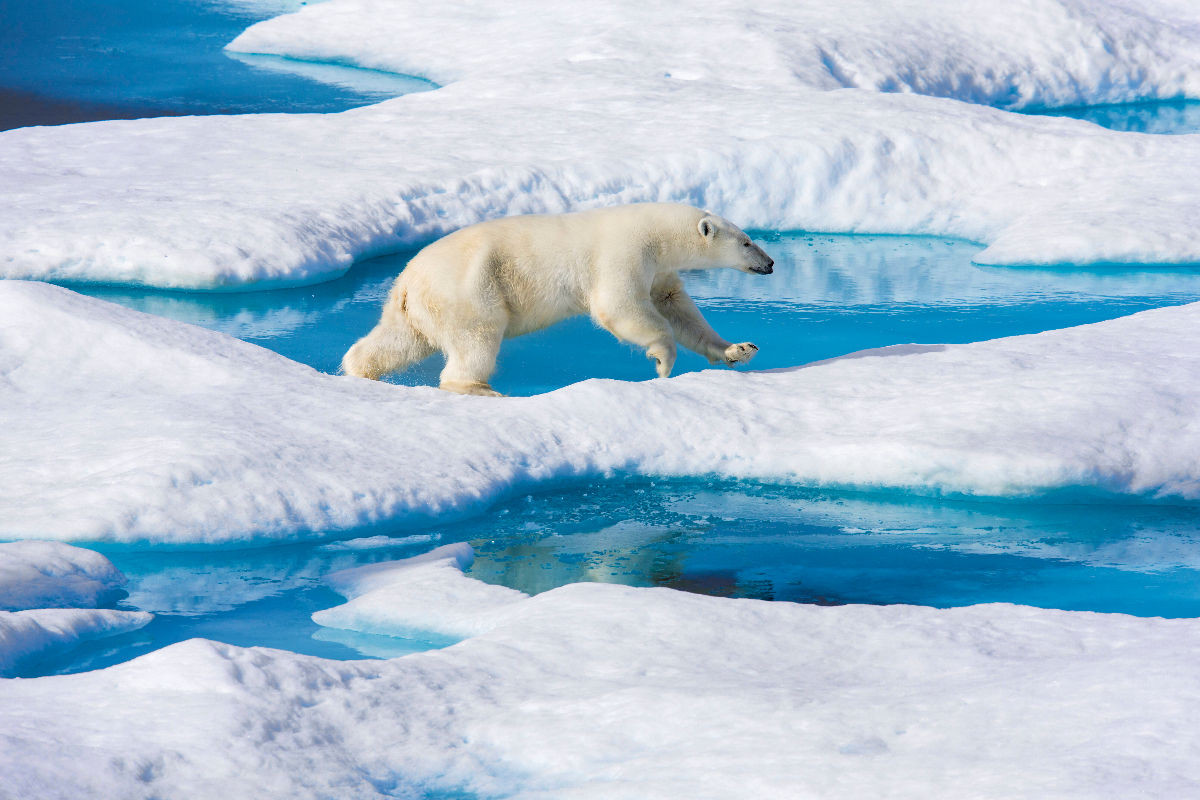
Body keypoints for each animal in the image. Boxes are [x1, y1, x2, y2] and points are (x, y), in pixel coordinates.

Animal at [343, 201, 782, 395]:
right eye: (747, 241)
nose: (771, 263)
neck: (656, 233)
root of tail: (407, 280)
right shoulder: (623, 251)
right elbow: (618, 306)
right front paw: (662, 361)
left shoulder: (660, 270)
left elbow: (678, 307)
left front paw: (739, 349)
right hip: (470, 290)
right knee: (477, 339)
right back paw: (480, 388)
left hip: (417, 307)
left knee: (398, 341)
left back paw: (358, 369)